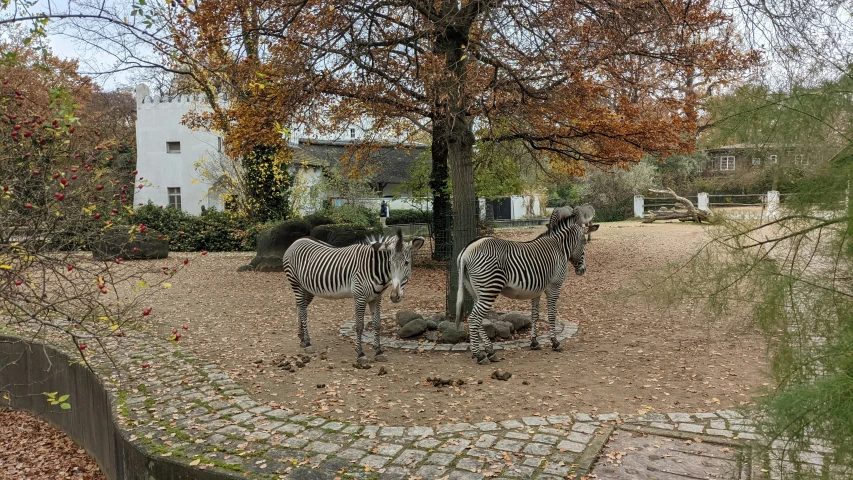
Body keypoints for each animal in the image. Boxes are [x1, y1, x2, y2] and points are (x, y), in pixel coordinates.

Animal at [282, 229, 424, 364]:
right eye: (390, 263)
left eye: (406, 263)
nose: (394, 296)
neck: (373, 268)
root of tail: (298, 240)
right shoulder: (360, 297)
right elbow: (359, 326)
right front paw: (360, 354)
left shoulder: (376, 298)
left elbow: (377, 324)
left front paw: (378, 351)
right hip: (296, 284)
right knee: (303, 312)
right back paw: (307, 343)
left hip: (308, 289)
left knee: (300, 308)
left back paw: (302, 339)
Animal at [452, 208, 600, 366]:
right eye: (584, 242)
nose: (582, 270)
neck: (559, 248)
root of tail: (466, 250)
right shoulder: (554, 286)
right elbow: (551, 314)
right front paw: (555, 342)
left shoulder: (536, 290)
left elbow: (535, 315)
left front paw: (534, 342)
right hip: (489, 289)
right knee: (474, 318)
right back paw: (479, 355)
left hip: (475, 291)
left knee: (476, 319)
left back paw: (490, 352)